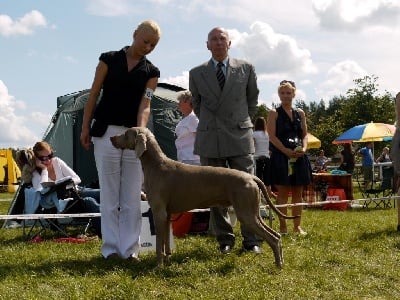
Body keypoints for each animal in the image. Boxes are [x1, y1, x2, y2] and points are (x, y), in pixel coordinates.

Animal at [110, 126, 296, 268]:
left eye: (126, 133)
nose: (111, 137)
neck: (156, 164)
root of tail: (251, 177)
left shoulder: (158, 212)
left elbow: (158, 244)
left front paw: (158, 266)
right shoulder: (167, 214)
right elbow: (165, 243)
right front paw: (167, 261)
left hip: (246, 213)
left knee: (272, 237)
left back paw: (278, 265)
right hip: (252, 211)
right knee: (276, 235)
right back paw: (281, 261)